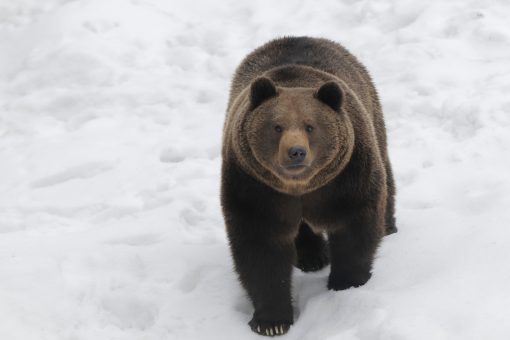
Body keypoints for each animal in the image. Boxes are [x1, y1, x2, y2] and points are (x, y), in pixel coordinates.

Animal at [221, 35, 396, 336]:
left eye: (310, 126)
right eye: (276, 126)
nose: (296, 152)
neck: (301, 187)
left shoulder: (347, 179)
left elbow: (355, 227)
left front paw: (347, 283)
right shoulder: (254, 189)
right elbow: (260, 249)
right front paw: (271, 321)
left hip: (373, 117)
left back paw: (388, 226)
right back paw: (312, 257)